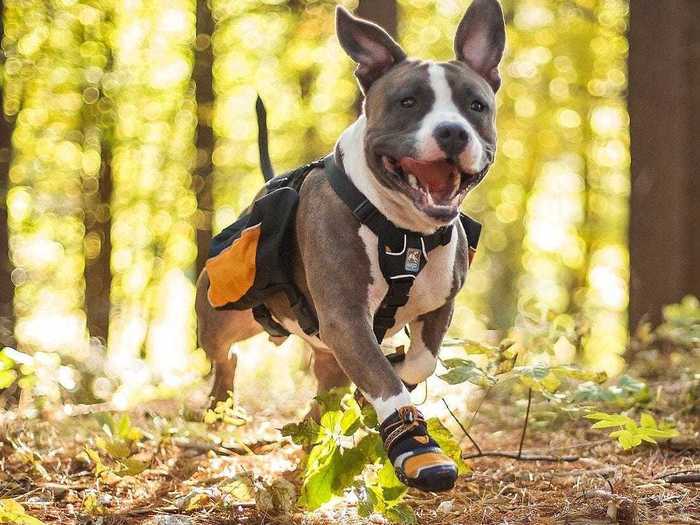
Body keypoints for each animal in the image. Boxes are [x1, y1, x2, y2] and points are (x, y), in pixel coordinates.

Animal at [194, 0, 506, 492]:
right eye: (408, 102)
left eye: (476, 106)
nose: (454, 132)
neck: (403, 229)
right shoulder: (346, 318)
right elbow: (386, 381)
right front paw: (415, 447)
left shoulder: (439, 305)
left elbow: (417, 364)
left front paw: (394, 373)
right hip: (222, 316)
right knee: (225, 357)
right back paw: (221, 406)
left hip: (324, 351)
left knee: (325, 388)